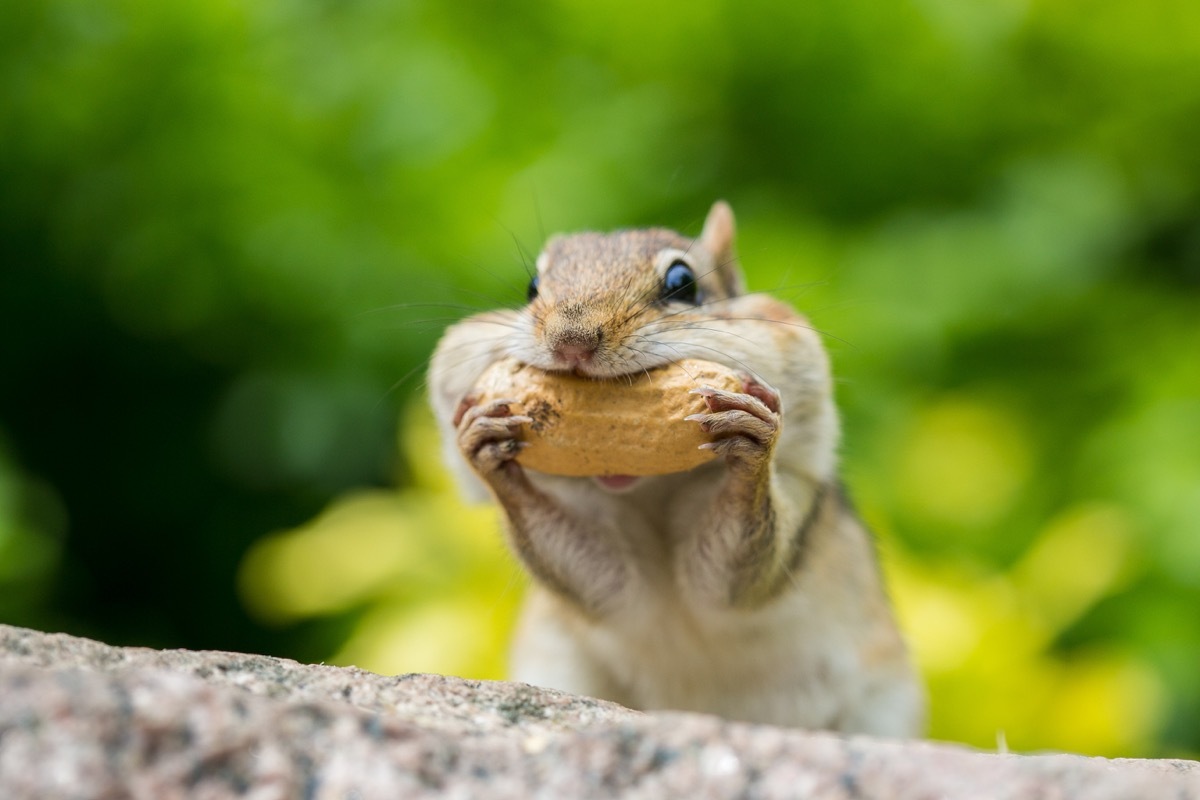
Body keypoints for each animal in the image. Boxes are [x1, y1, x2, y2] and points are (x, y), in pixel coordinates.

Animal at [428, 201, 924, 736]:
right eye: (531, 287)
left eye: (683, 283)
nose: (571, 341)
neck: (650, 489)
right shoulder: (611, 582)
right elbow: (597, 577)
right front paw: (488, 448)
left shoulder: (794, 493)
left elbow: (731, 574)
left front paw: (751, 445)